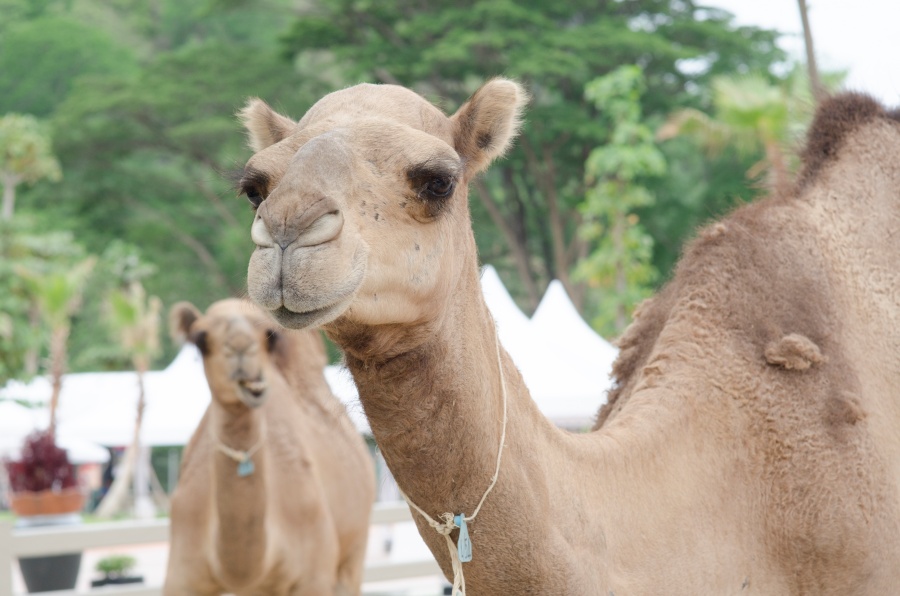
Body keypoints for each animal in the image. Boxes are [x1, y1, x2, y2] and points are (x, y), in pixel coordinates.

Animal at [163, 298, 374, 596]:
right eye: (200, 339)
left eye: (270, 335)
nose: (242, 349)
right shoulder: (181, 571)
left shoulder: (314, 574)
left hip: (355, 546)